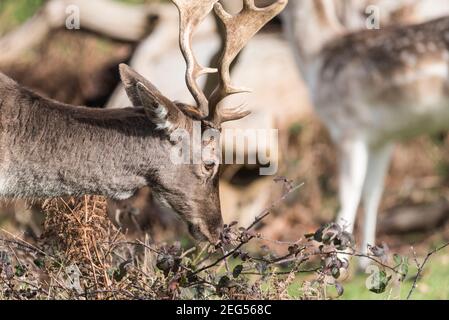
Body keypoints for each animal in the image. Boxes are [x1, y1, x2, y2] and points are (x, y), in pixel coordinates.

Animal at [286, 0, 448, 268]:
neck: (316, 57)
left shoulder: (348, 128)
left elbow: (348, 194)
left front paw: (338, 263)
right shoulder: (383, 138)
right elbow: (372, 192)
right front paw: (368, 261)